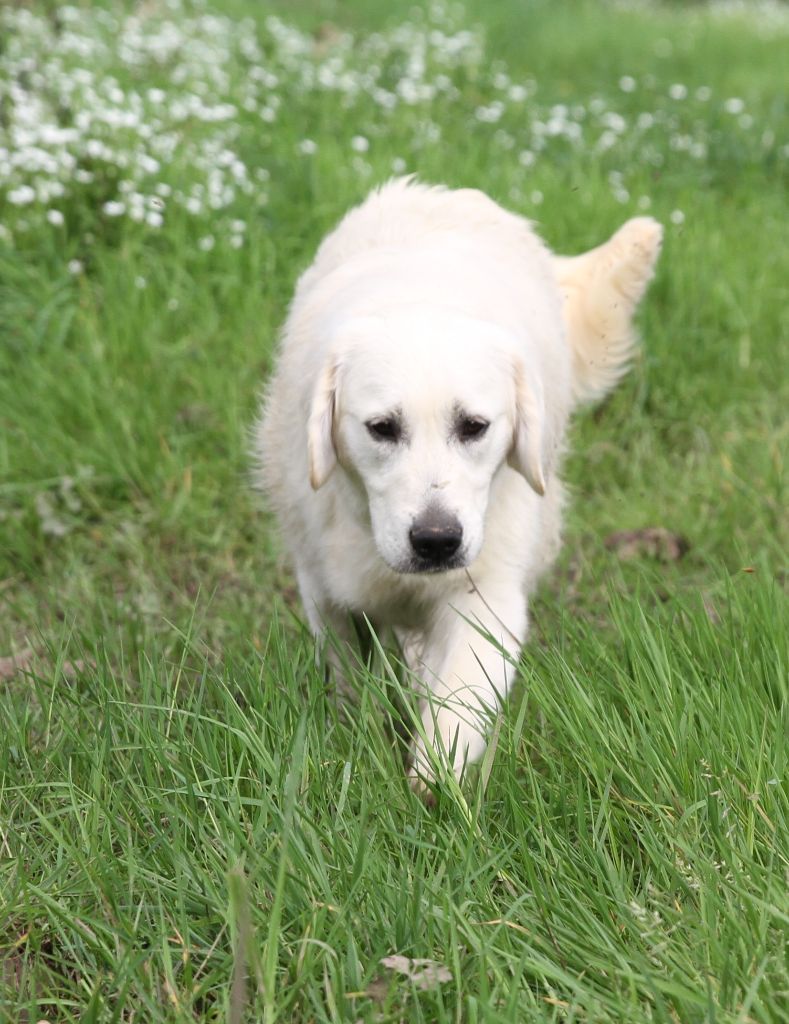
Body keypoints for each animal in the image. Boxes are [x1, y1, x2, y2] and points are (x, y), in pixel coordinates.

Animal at [252, 178, 659, 790]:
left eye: (474, 426)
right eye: (382, 428)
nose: (437, 541)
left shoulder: (485, 588)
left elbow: (459, 700)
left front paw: (433, 781)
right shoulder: (323, 585)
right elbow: (348, 678)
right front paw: (354, 742)